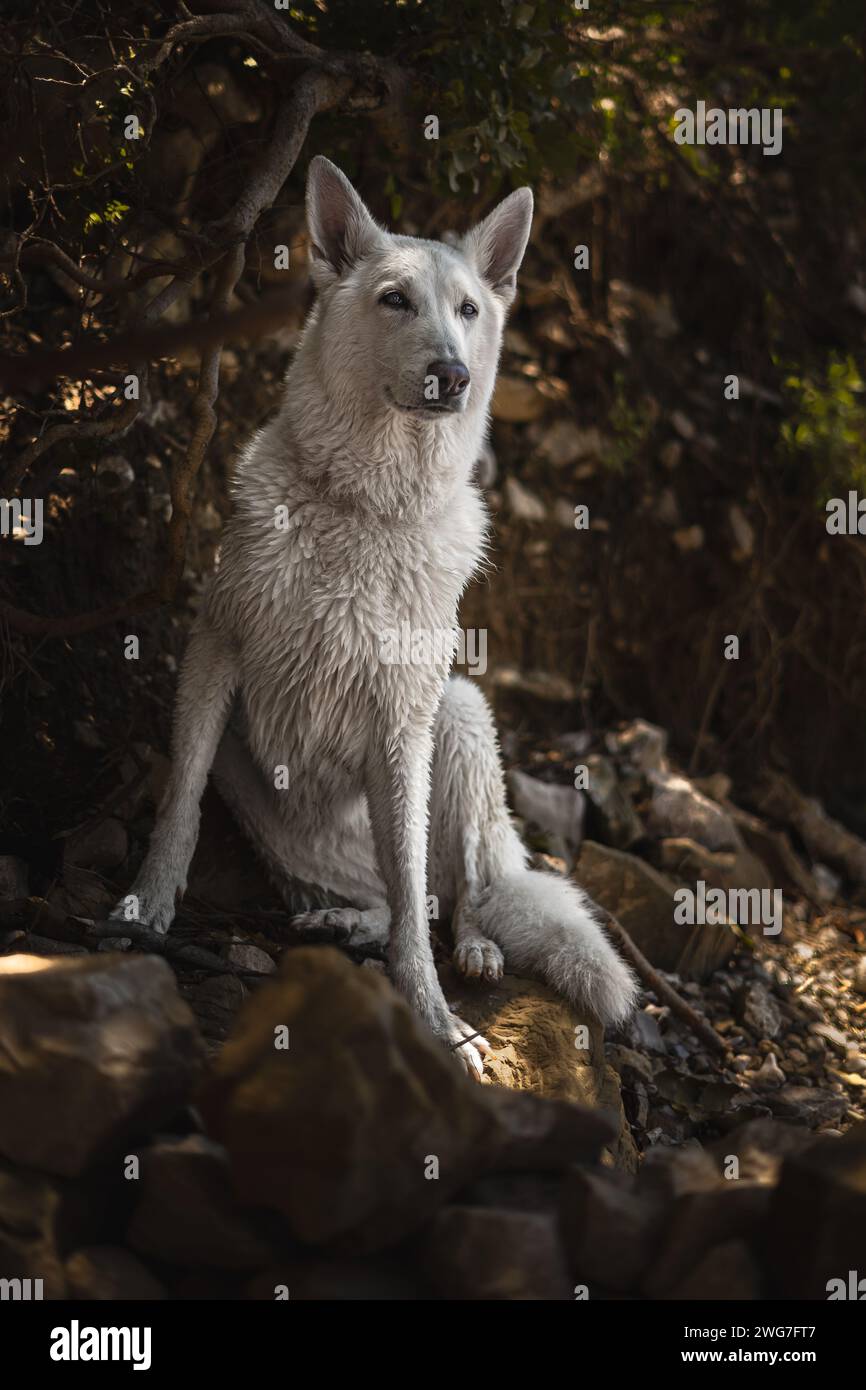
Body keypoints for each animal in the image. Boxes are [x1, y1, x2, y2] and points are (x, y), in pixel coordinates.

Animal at [113, 159, 636, 1073]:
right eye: (395, 300)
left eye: (467, 310)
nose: (451, 374)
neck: (367, 506)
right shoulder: (214, 648)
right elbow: (178, 802)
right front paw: (148, 905)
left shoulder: (404, 718)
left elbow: (418, 903)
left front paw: (434, 1019)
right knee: (400, 897)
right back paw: (344, 920)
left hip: (459, 715)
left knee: (454, 896)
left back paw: (474, 950)